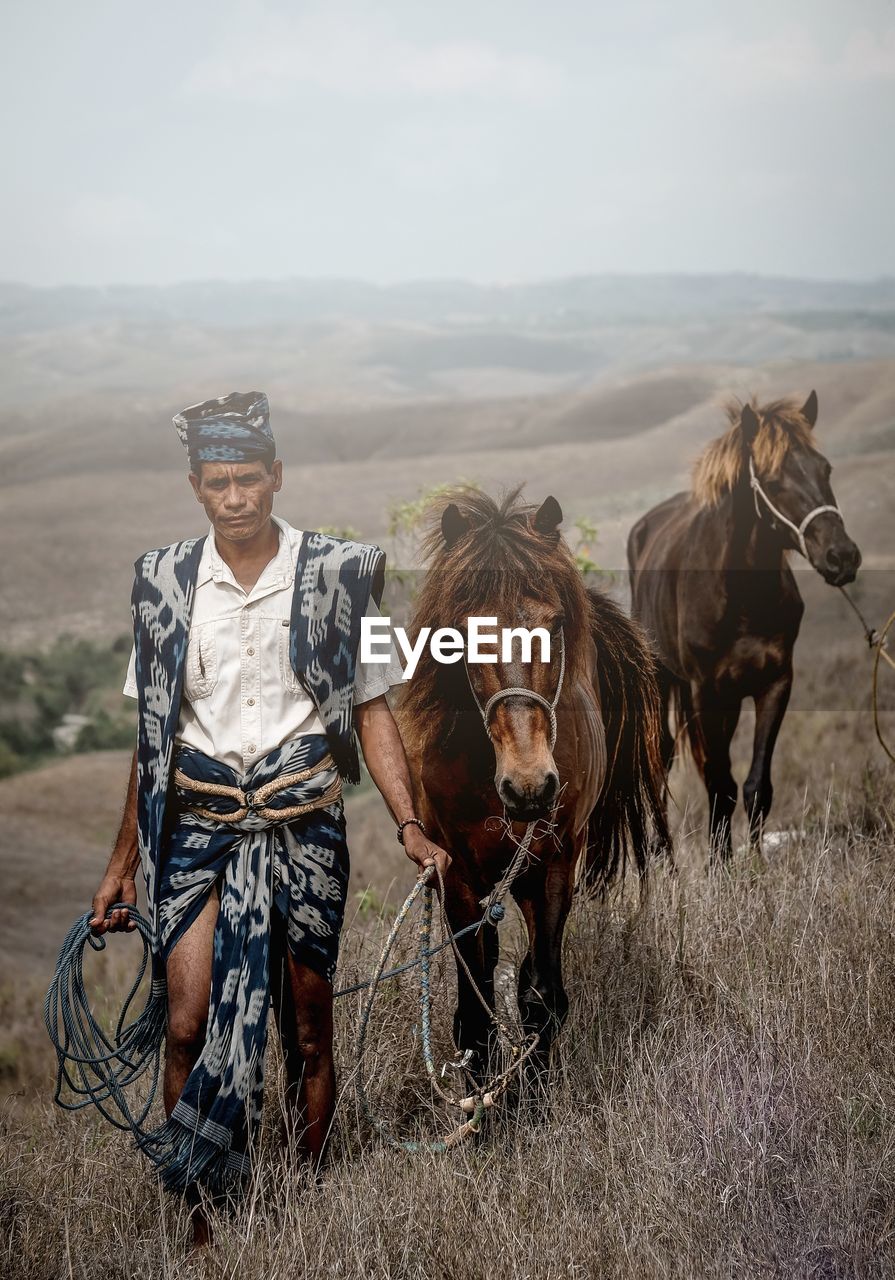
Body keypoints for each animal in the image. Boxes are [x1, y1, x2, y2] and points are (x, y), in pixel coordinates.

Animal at [394, 483, 670, 1075]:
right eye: (460, 634)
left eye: (555, 624)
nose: (529, 786)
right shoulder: (457, 876)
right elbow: (474, 1008)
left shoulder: (555, 866)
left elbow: (541, 994)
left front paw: (535, 1088)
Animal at [627, 389, 865, 860]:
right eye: (772, 482)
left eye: (825, 468)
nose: (842, 556)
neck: (741, 598)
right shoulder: (705, 691)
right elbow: (719, 783)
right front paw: (719, 865)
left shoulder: (774, 683)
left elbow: (756, 785)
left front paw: (752, 865)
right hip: (664, 680)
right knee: (661, 757)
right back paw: (663, 855)